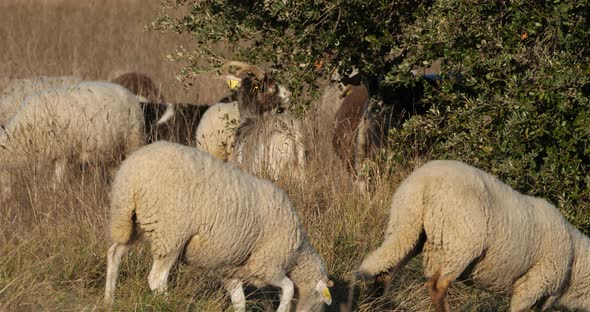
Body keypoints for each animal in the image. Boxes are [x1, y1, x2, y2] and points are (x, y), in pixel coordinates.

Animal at [104, 142, 336, 312]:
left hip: (130, 222)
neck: (298, 252)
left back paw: (109, 299)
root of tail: (130, 175)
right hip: (170, 232)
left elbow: (239, 301)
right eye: (319, 304)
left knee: (114, 254)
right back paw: (166, 304)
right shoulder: (268, 265)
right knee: (157, 280)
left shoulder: (231, 271)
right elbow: (288, 288)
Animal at [356, 160, 590, 310]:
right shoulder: (532, 286)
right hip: (458, 243)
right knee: (437, 286)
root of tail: (423, 183)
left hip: (407, 226)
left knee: (386, 270)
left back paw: (373, 305)